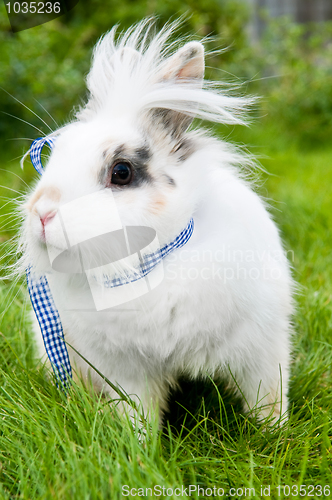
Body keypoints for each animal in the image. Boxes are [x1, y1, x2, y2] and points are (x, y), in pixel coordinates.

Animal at [18, 19, 294, 426]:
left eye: (121, 172)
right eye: (56, 155)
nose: (42, 213)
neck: (148, 263)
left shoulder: (262, 349)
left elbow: (268, 397)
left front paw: (274, 433)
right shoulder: (126, 374)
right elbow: (138, 413)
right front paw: (139, 442)